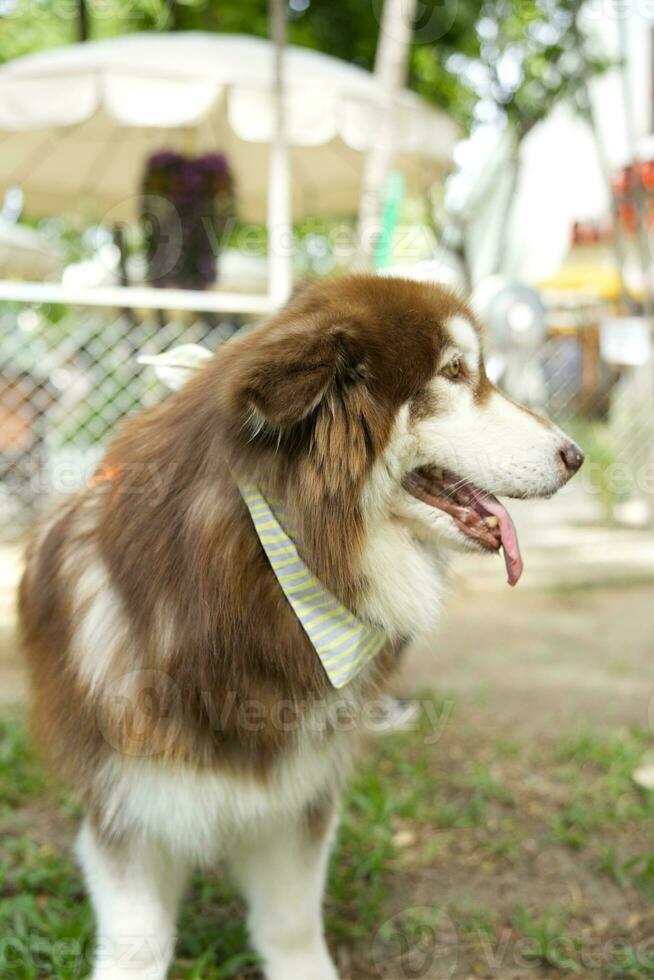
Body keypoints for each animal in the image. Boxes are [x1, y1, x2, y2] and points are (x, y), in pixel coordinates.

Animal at [19, 276, 584, 980]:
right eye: (455, 373)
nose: (577, 456)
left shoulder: (299, 793)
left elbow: (289, 923)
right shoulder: (130, 802)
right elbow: (138, 941)